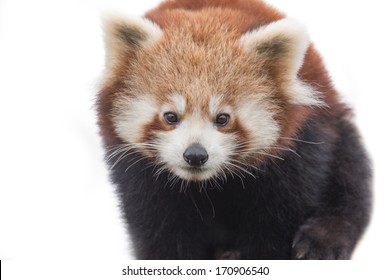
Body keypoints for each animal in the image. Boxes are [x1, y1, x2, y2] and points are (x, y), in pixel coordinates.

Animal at [96, 0, 372, 260]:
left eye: (223, 118)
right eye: (170, 116)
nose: (195, 154)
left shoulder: (295, 159)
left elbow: (276, 225)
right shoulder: (140, 178)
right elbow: (159, 230)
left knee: (350, 180)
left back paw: (322, 240)